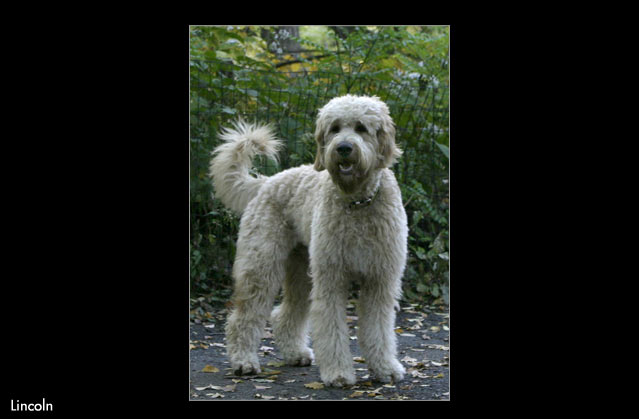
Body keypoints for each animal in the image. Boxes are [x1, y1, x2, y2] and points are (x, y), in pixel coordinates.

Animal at [210, 94, 410, 388]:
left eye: (361, 127)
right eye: (335, 128)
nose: (344, 148)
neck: (358, 203)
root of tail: (266, 182)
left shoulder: (380, 280)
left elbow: (379, 329)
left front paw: (385, 367)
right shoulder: (331, 279)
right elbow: (332, 329)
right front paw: (338, 373)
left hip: (301, 271)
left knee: (284, 314)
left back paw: (295, 353)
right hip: (262, 267)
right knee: (243, 318)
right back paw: (244, 361)